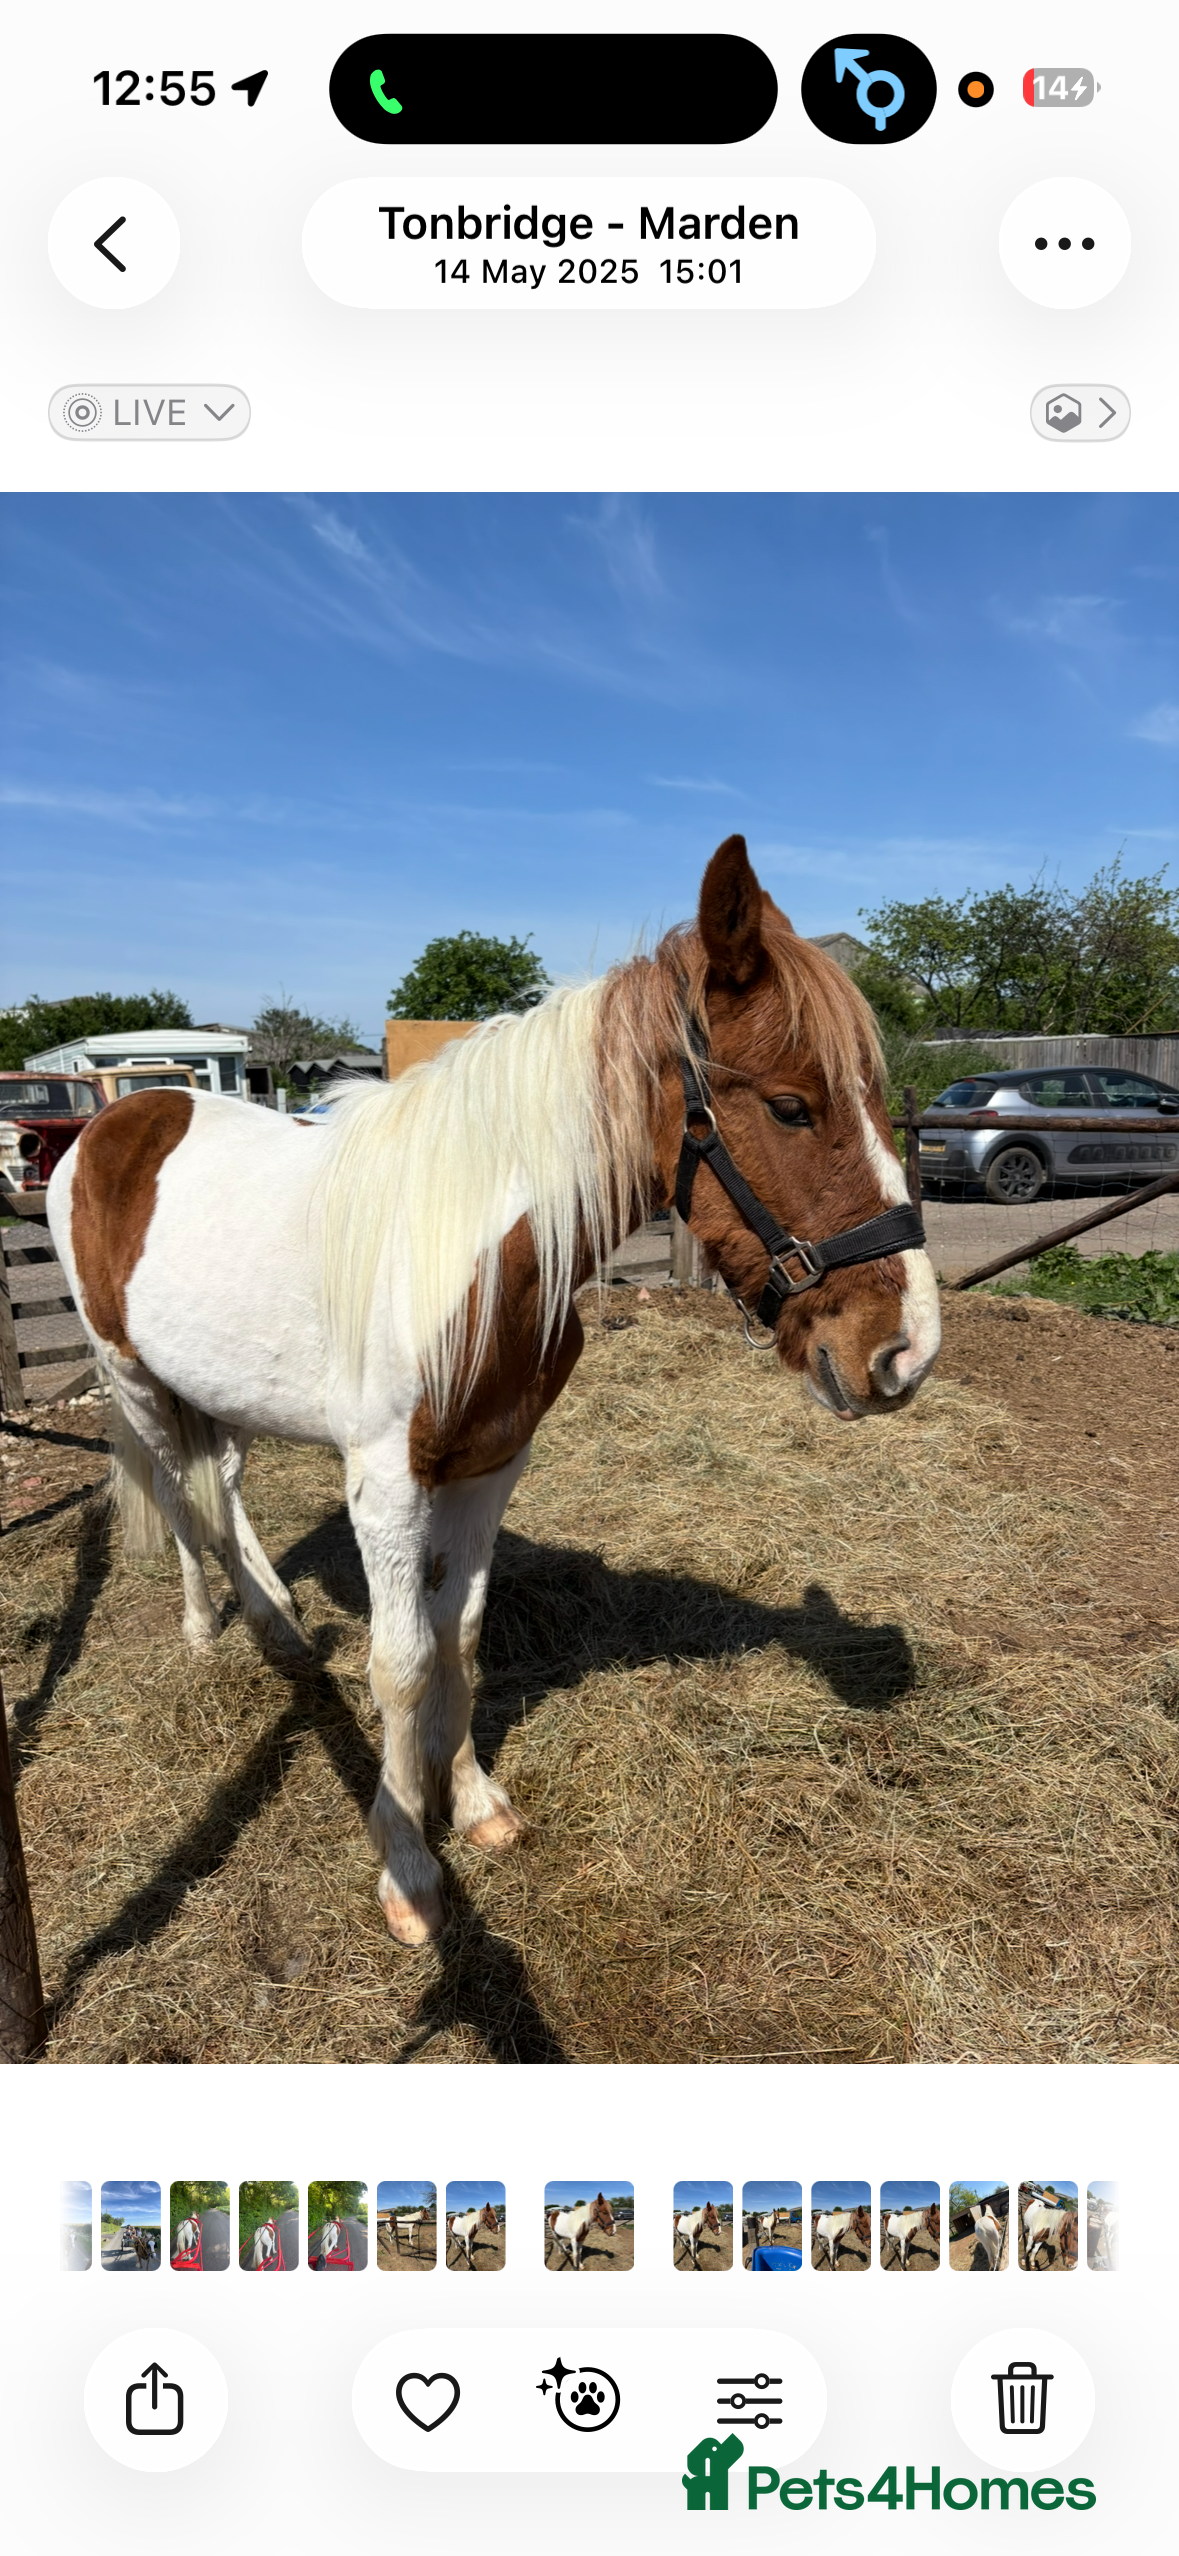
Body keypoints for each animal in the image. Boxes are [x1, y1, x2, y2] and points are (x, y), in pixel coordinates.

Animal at [49, 834, 939, 1946]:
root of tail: (119, 1115)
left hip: (219, 1391)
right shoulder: (385, 1482)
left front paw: (472, 1804)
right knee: (176, 1495)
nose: (903, 1351)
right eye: (789, 1104)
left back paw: (279, 1624)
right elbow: (400, 1659)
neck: (468, 1260)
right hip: (132, 1380)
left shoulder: (491, 1466)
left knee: (226, 1486)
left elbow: (459, 1636)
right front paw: (407, 1867)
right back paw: (207, 1630)